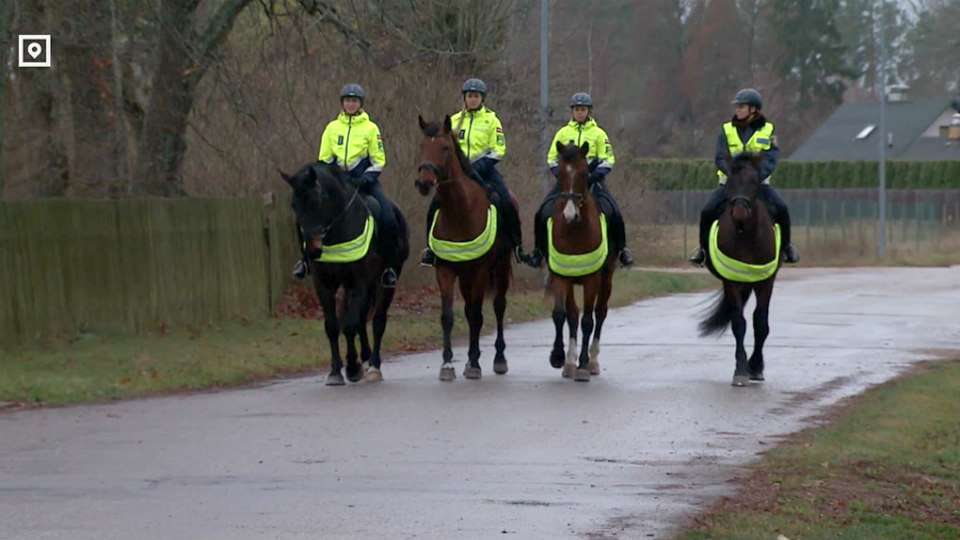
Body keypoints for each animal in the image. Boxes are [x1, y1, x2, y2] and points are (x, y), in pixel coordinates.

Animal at [282, 160, 408, 384]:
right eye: (294, 205)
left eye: (318, 201)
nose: (312, 250)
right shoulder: (324, 284)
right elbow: (333, 326)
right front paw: (335, 371)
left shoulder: (359, 281)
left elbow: (349, 324)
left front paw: (352, 368)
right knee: (361, 320)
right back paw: (365, 358)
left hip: (383, 282)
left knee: (377, 321)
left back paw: (373, 366)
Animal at [414, 116, 516, 382]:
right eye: (421, 145)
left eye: (445, 148)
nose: (423, 183)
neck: (460, 212)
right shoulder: (446, 270)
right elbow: (448, 316)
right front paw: (448, 364)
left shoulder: (480, 271)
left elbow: (478, 315)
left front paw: (474, 364)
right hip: (465, 277)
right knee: (471, 311)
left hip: (499, 268)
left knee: (498, 306)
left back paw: (498, 359)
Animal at [548, 141, 616, 382]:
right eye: (560, 173)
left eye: (585, 173)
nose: (570, 215)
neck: (575, 232)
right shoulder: (561, 275)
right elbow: (562, 315)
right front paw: (560, 358)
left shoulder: (591, 279)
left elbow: (587, 320)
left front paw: (584, 365)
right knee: (574, 315)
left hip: (606, 279)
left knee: (600, 313)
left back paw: (593, 361)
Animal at [696, 154, 780, 386]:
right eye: (731, 181)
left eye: (753, 181)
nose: (740, 213)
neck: (746, 234)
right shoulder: (731, 279)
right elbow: (738, 323)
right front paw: (741, 370)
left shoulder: (766, 280)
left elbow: (761, 323)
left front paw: (756, 367)